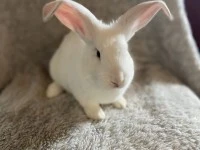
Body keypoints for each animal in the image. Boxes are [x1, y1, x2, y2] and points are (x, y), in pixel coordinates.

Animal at [43, 0, 173, 119]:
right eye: (98, 53)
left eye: (126, 50)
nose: (118, 80)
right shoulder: (84, 97)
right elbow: (91, 105)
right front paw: (99, 115)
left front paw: (121, 104)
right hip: (56, 69)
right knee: (57, 82)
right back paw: (51, 92)